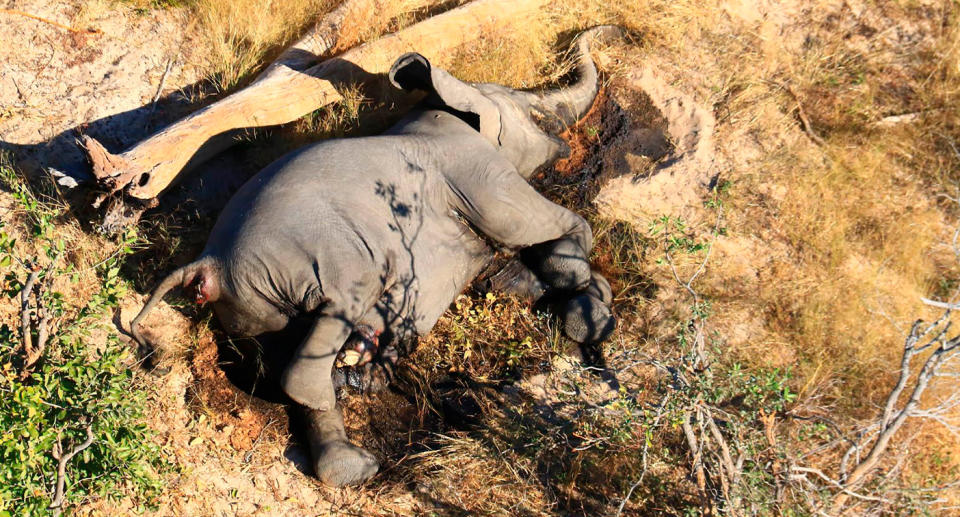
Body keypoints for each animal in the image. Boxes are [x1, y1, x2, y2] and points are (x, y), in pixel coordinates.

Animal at [131, 27, 620, 488]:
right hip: (311, 260)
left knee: (286, 351)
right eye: (534, 112)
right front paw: (591, 314)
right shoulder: (477, 172)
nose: (610, 32)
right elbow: (546, 226)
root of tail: (206, 263)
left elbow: (504, 272)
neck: (446, 105)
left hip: (254, 308)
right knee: (329, 325)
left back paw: (353, 448)